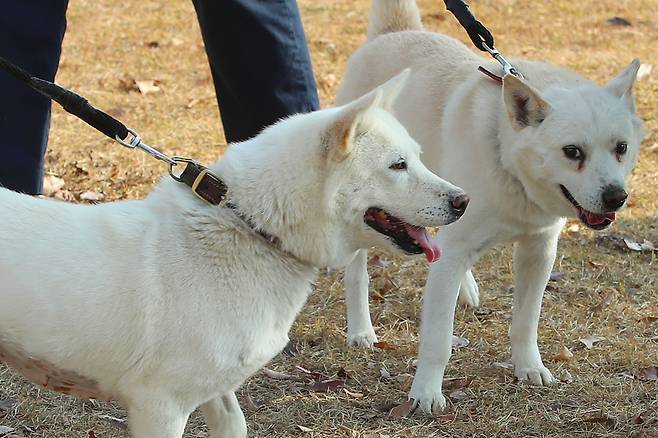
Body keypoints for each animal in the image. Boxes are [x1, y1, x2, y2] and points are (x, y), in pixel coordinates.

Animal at [0, 70, 466, 436]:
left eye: (418, 158)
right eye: (397, 165)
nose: (463, 201)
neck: (252, 228)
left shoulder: (219, 393)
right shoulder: (160, 407)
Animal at [336, 0, 644, 414]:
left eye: (621, 148)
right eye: (572, 152)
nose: (616, 196)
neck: (508, 163)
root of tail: (393, 33)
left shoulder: (538, 251)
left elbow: (525, 322)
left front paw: (529, 369)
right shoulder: (458, 243)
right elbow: (438, 339)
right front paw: (425, 394)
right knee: (358, 273)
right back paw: (362, 331)